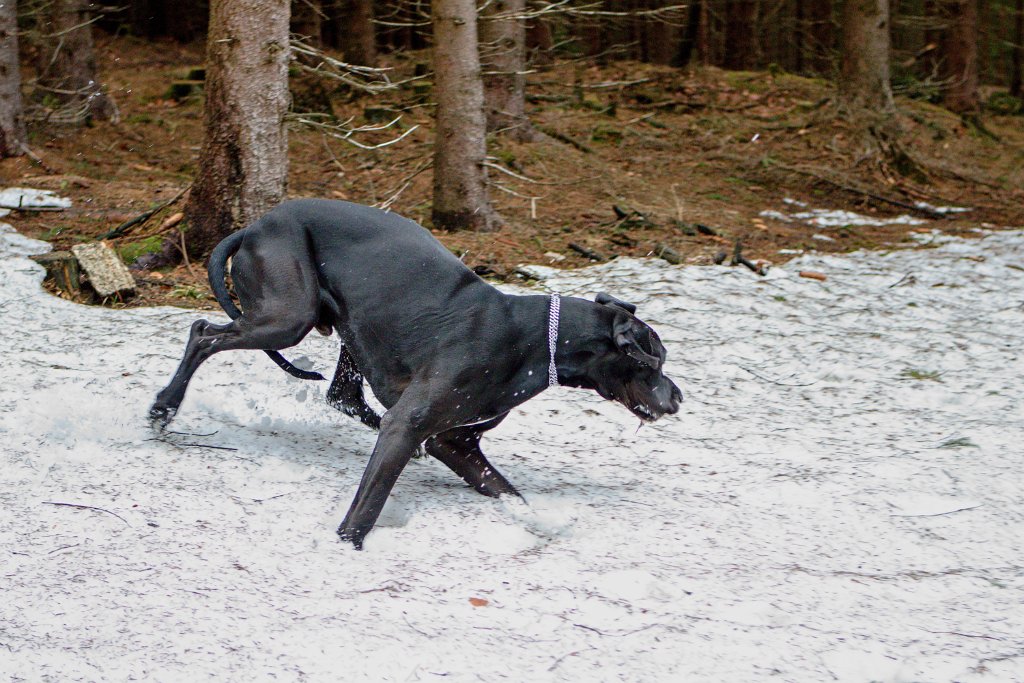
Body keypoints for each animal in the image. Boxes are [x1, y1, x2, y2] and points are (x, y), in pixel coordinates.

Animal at [149, 198, 679, 548]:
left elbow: (509, 493)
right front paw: (347, 543)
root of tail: (256, 225)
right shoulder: (411, 426)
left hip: (349, 329)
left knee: (342, 395)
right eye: (654, 359)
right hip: (287, 317)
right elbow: (371, 498)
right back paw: (164, 408)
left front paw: (541, 524)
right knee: (202, 334)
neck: (537, 341)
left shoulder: (456, 441)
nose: (677, 397)